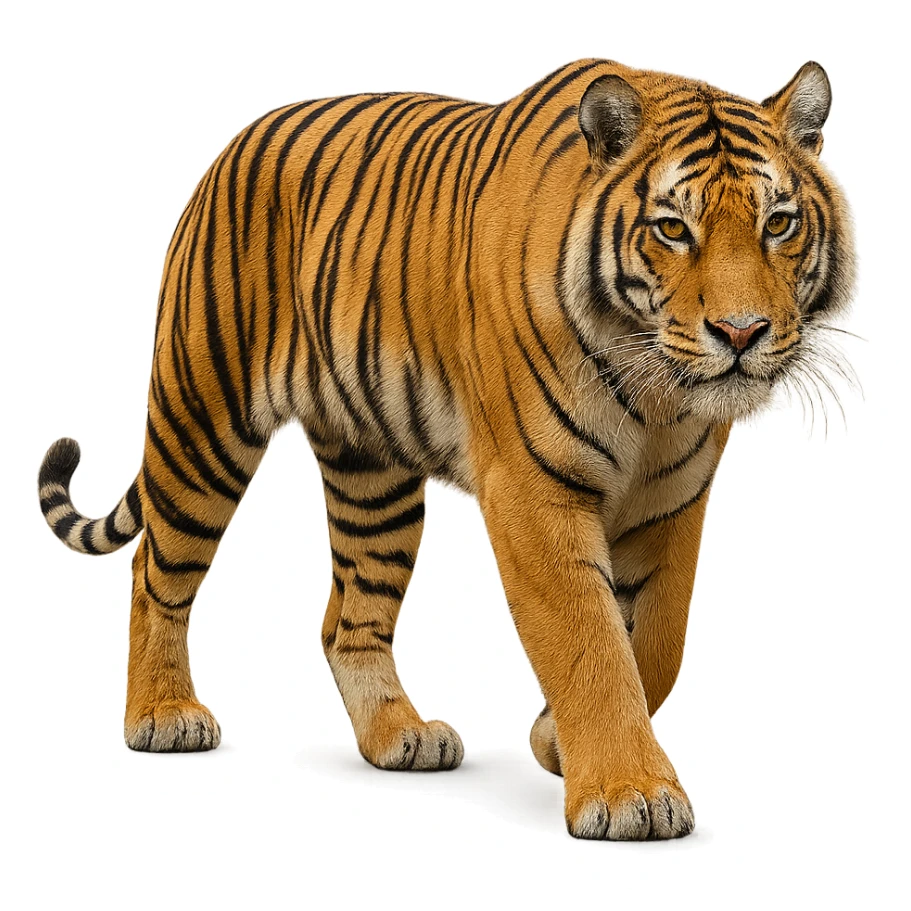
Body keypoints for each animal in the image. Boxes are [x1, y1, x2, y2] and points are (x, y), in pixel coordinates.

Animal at [38, 58, 853, 839]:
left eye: (779, 223)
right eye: (673, 230)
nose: (741, 332)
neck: (653, 393)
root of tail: (231, 145)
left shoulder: (671, 504)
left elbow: (655, 642)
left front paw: (557, 742)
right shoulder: (532, 491)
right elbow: (589, 640)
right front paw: (632, 794)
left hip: (374, 482)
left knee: (347, 620)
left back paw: (399, 736)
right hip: (205, 422)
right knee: (154, 570)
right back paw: (162, 715)